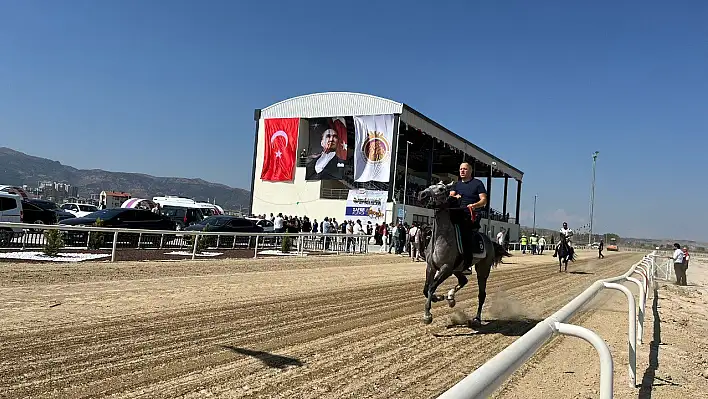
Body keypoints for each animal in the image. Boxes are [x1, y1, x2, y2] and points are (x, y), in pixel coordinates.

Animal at [414, 183, 508, 326]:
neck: (440, 238)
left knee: (481, 294)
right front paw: (438, 297)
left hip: (482, 269)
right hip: (457, 269)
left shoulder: (446, 268)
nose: (422, 194)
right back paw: (451, 297)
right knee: (464, 280)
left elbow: (431, 287)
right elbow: (426, 289)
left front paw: (427, 316)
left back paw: (476, 318)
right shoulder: (431, 267)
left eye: (441, 189)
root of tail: (489, 241)